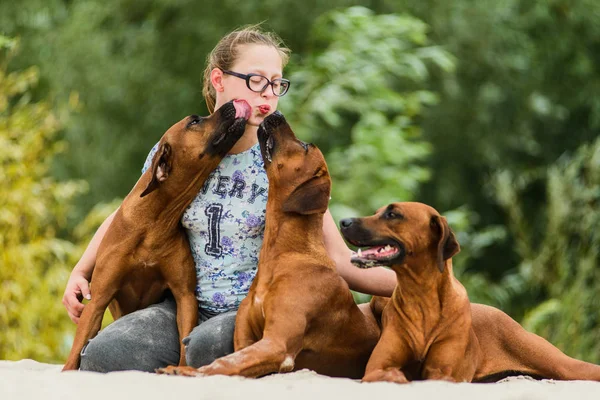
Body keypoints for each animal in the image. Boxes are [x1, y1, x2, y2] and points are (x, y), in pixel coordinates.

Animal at [64, 101, 252, 372]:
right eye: (194, 121)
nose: (229, 104)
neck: (154, 223)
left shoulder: (184, 296)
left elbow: (185, 342)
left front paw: (178, 370)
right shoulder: (98, 299)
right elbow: (75, 351)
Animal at [157, 111, 378, 378]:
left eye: (305, 146)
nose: (278, 113)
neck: (281, 256)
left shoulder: (276, 344)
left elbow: (223, 363)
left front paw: (193, 372)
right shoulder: (245, 338)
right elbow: (230, 359)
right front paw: (183, 368)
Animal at [340, 203, 600, 384]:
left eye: (393, 214)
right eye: (377, 212)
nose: (343, 221)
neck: (421, 297)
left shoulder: (443, 372)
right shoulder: (377, 366)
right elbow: (385, 372)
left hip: (558, 363)